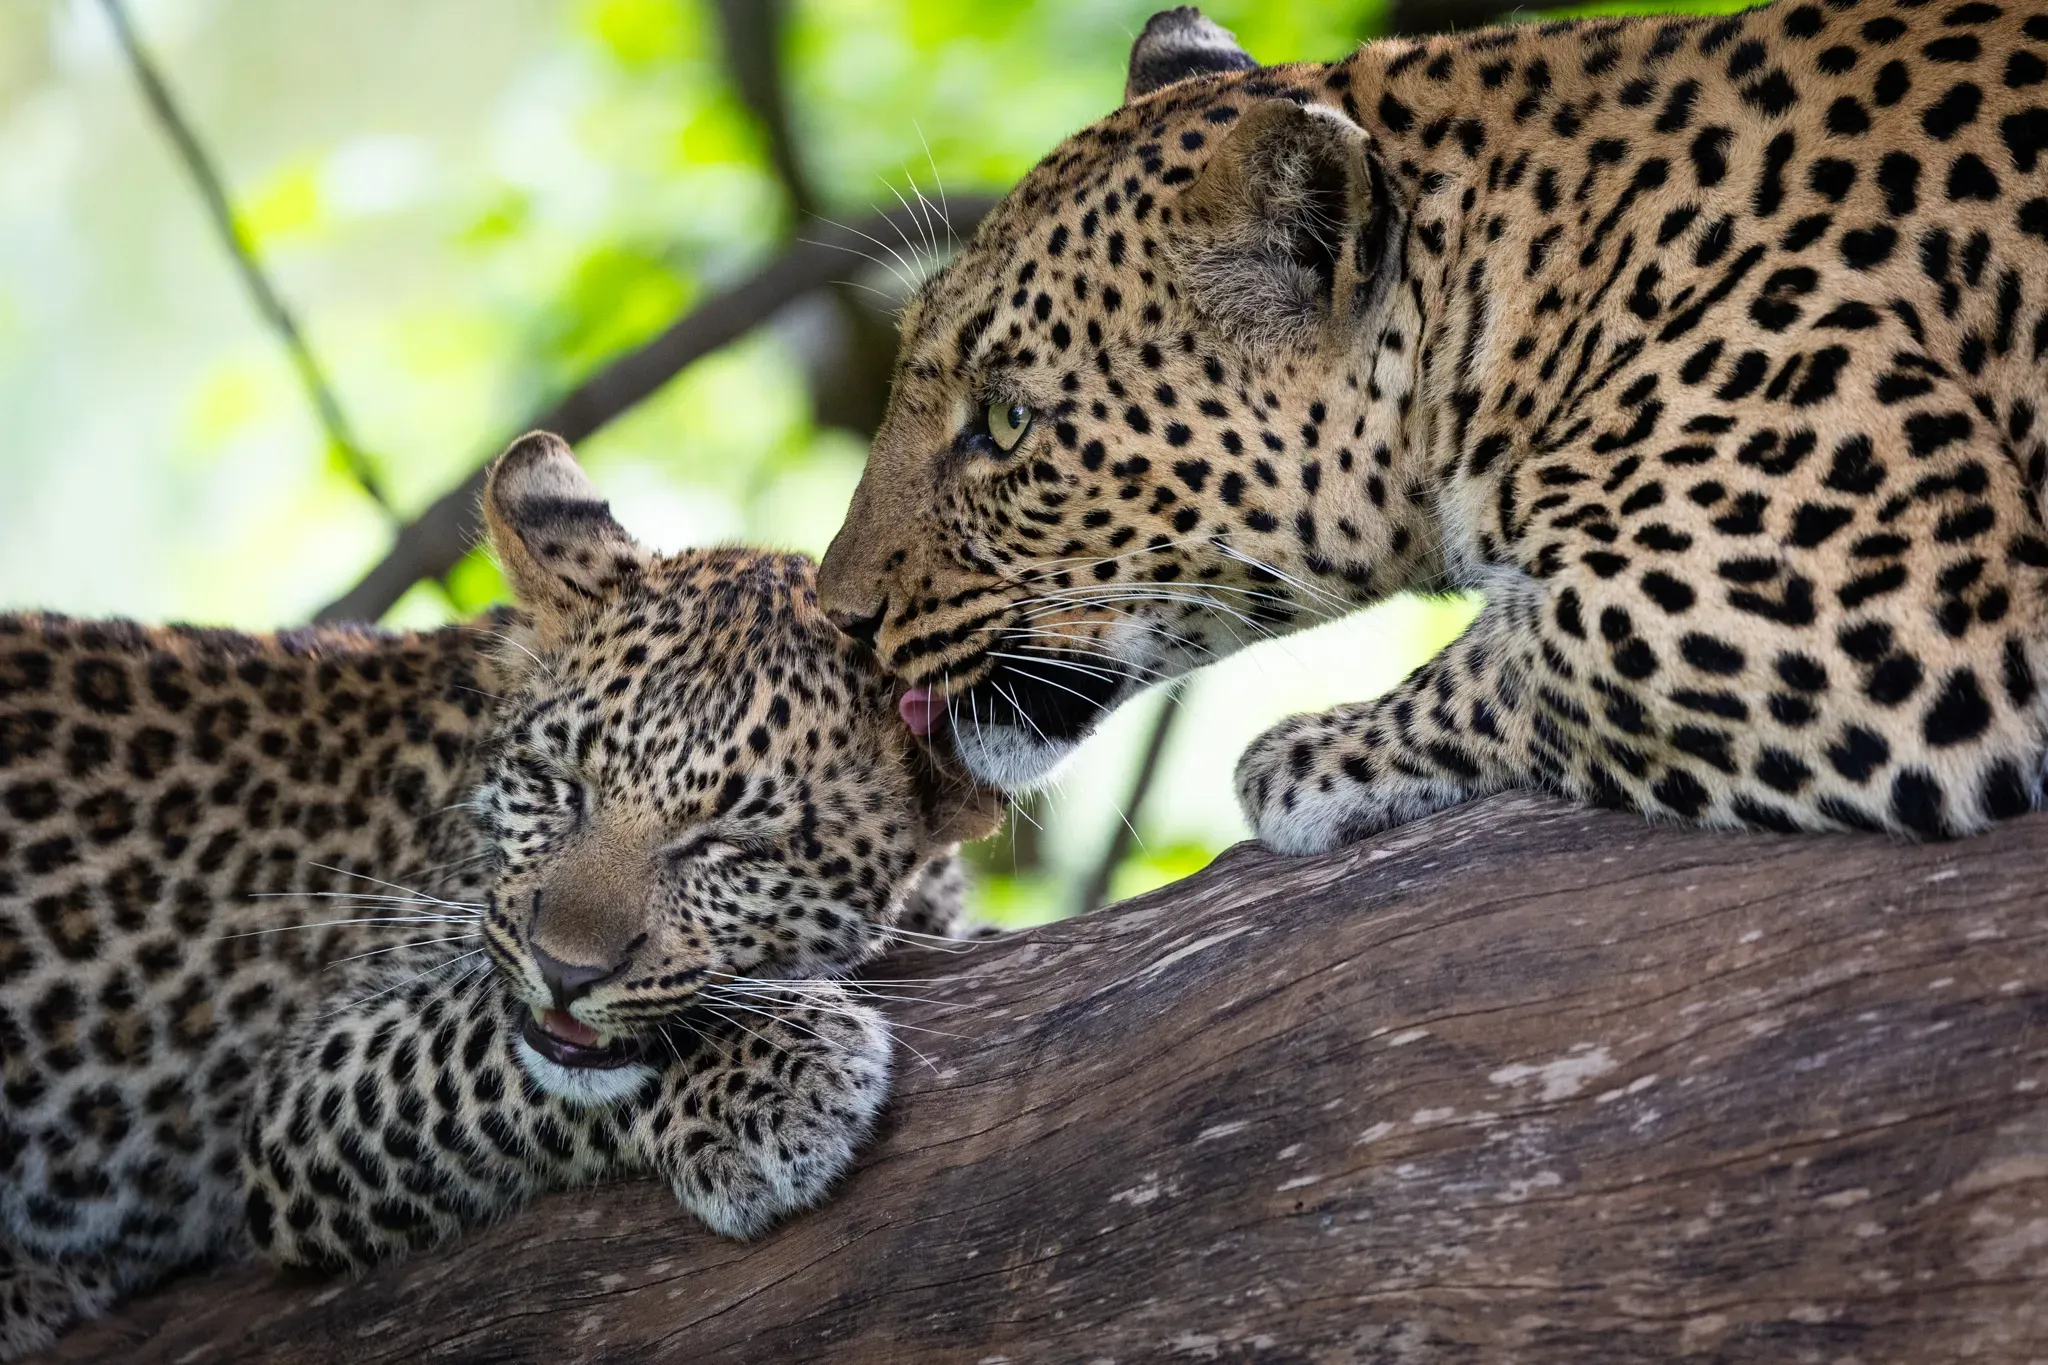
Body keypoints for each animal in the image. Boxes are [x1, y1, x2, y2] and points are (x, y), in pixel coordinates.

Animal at [0, 432, 997, 1358]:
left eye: (731, 846)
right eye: (558, 785)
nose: (564, 971)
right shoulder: (301, 1097)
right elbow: (478, 1043)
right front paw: (775, 1066)